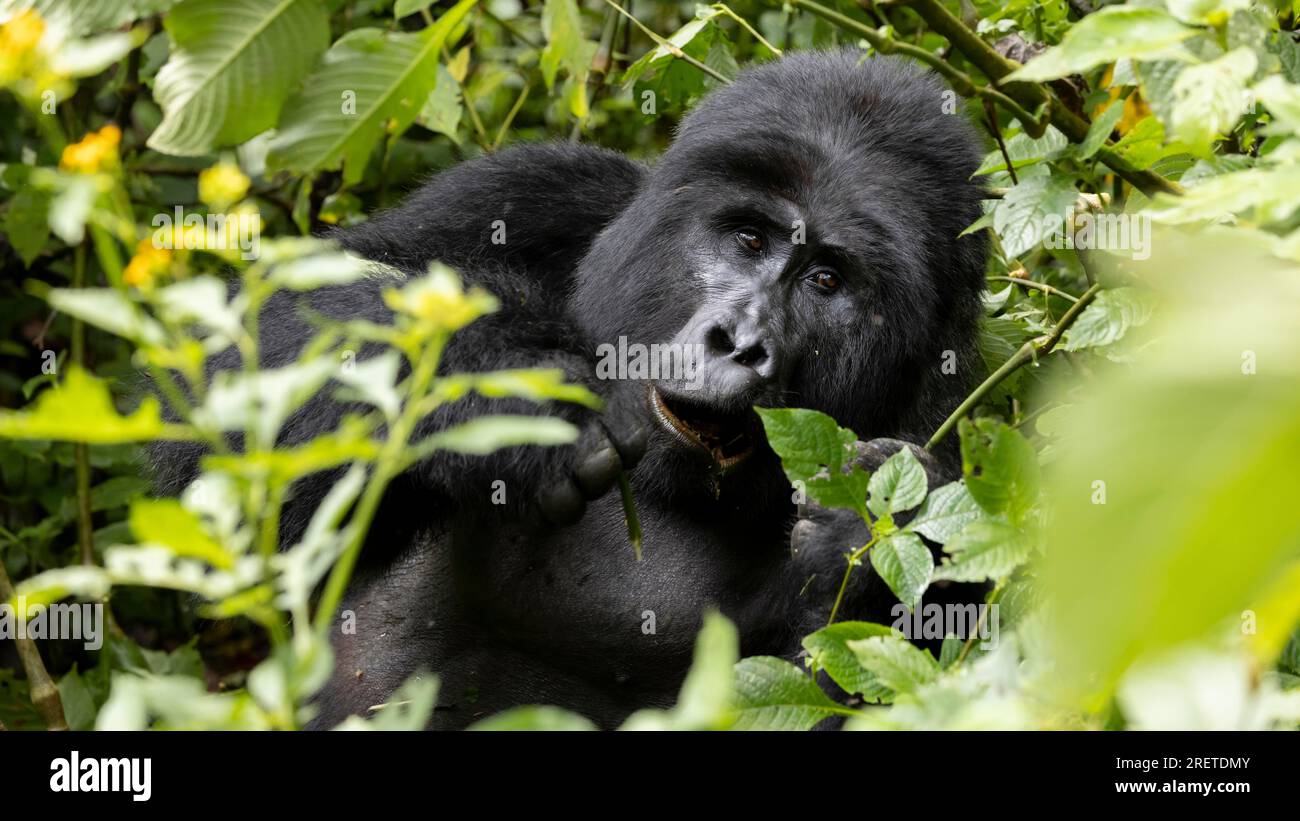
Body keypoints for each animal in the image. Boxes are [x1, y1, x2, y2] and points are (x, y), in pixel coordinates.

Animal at [152, 49, 982, 722]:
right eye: (749, 238)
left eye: (826, 280)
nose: (742, 344)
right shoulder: (540, 189)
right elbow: (255, 356)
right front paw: (505, 382)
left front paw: (867, 530)